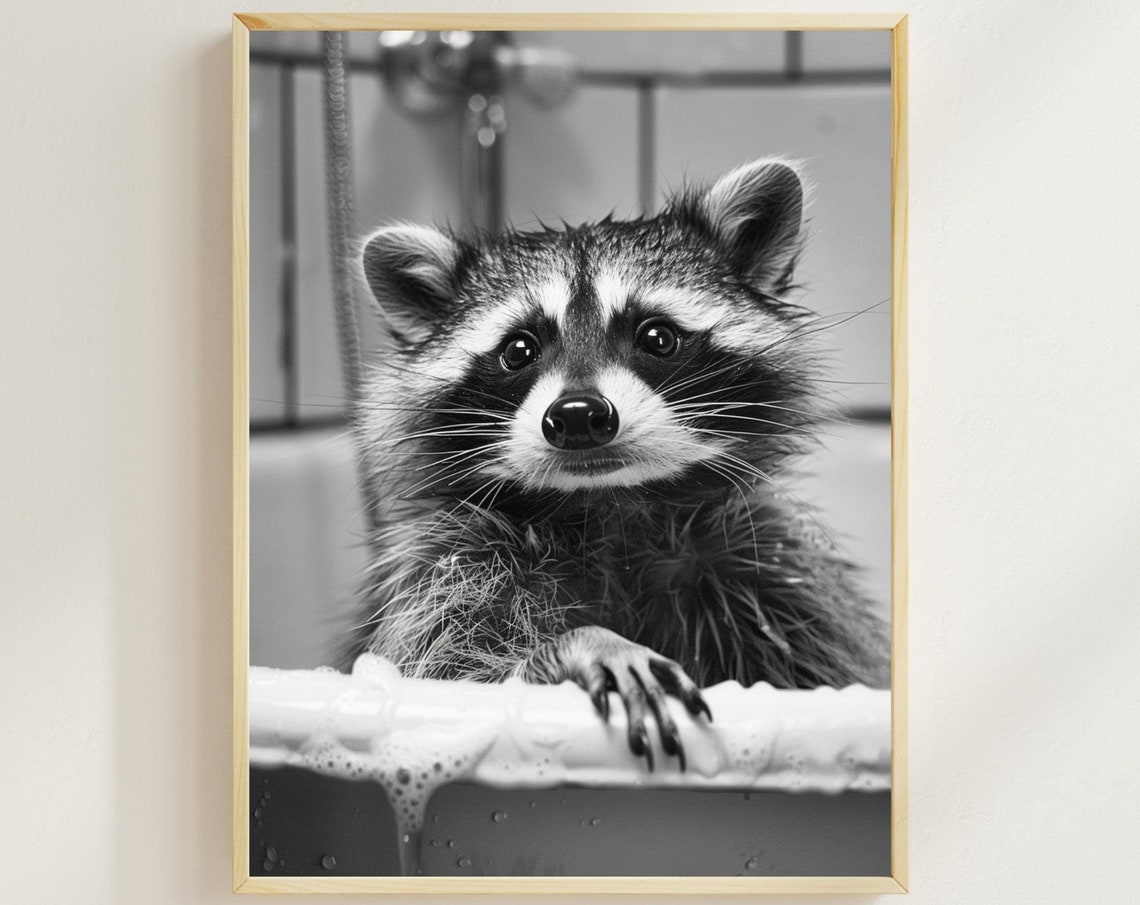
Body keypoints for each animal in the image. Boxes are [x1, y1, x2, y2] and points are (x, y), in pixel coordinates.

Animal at [349, 158, 890, 768]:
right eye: (519, 350)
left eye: (657, 336)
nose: (579, 416)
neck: (609, 504)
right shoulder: (448, 572)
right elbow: (450, 673)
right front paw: (576, 647)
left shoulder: (775, 570)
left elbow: (827, 672)